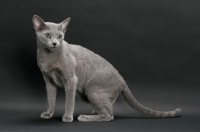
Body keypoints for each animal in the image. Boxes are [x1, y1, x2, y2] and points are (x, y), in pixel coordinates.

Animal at [31, 14, 181, 122]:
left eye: (60, 36)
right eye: (48, 35)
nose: (55, 43)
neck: (48, 58)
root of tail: (122, 79)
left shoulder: (71, 80)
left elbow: (69, 101)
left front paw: (67, 117)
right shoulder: (48, 81)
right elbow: (51, 99)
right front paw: (48, 114)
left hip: (91, 89)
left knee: (109, 116)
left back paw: (85, 117)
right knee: (108, 108)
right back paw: (95, 111)